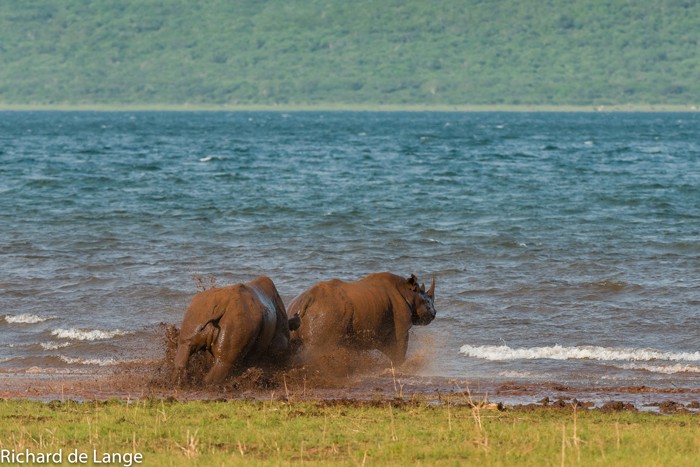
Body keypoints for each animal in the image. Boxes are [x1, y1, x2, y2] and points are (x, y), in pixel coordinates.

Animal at [288, 272, 434, 368]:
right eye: (428, 302)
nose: (434, 313)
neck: (408, 292)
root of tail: (308, 298)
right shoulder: (401, 326)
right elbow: (399, 349)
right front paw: (400, 366)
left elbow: (389, 349)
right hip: (327, 311)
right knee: (315, 350)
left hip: (294, 309)